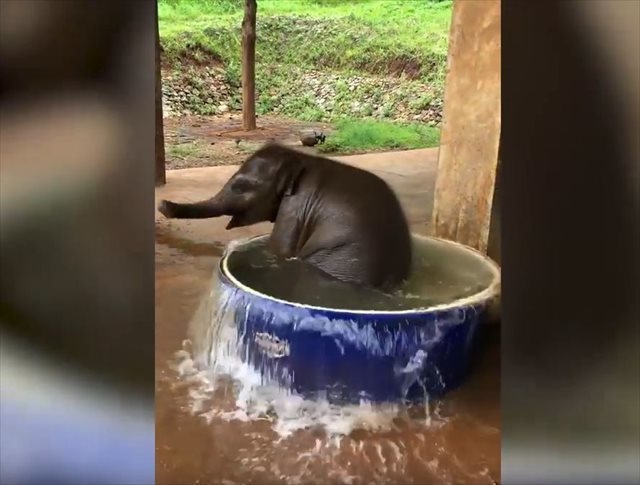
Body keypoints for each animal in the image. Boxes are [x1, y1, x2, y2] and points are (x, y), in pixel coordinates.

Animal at [158, 142, 412, 290]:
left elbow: (279, 249)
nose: (162, 204)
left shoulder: (296, 207)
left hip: (338, 260)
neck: (299, 157)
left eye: (240, 187)